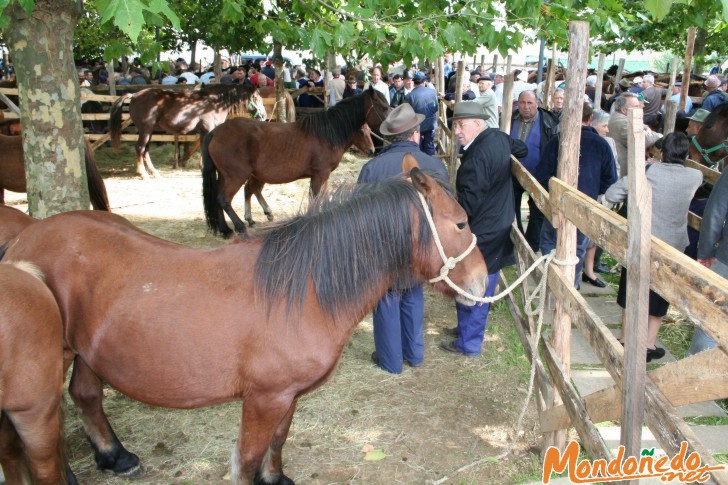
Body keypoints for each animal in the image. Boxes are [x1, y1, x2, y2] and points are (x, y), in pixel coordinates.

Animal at [109, 82, 264, 179]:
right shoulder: (207, 131)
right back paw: (143, 174)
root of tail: (134, 95)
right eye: (257, 98)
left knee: (145, 150)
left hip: (150, 131)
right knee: (140, 148)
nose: (263, 116)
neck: (214, 103)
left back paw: (154, 172)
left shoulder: (203, 133)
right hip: (145, 130)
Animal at [202, 88, 390, 238]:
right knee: (224, 199)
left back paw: (226, 229)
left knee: (221, 197)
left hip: (227, 176)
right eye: (384, 108)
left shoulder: (324, 176)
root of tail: (216, 132)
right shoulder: (319, 175)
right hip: (235, 177)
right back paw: (240, 226)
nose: (371, 150)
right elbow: (315, 198)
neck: (326, 133)